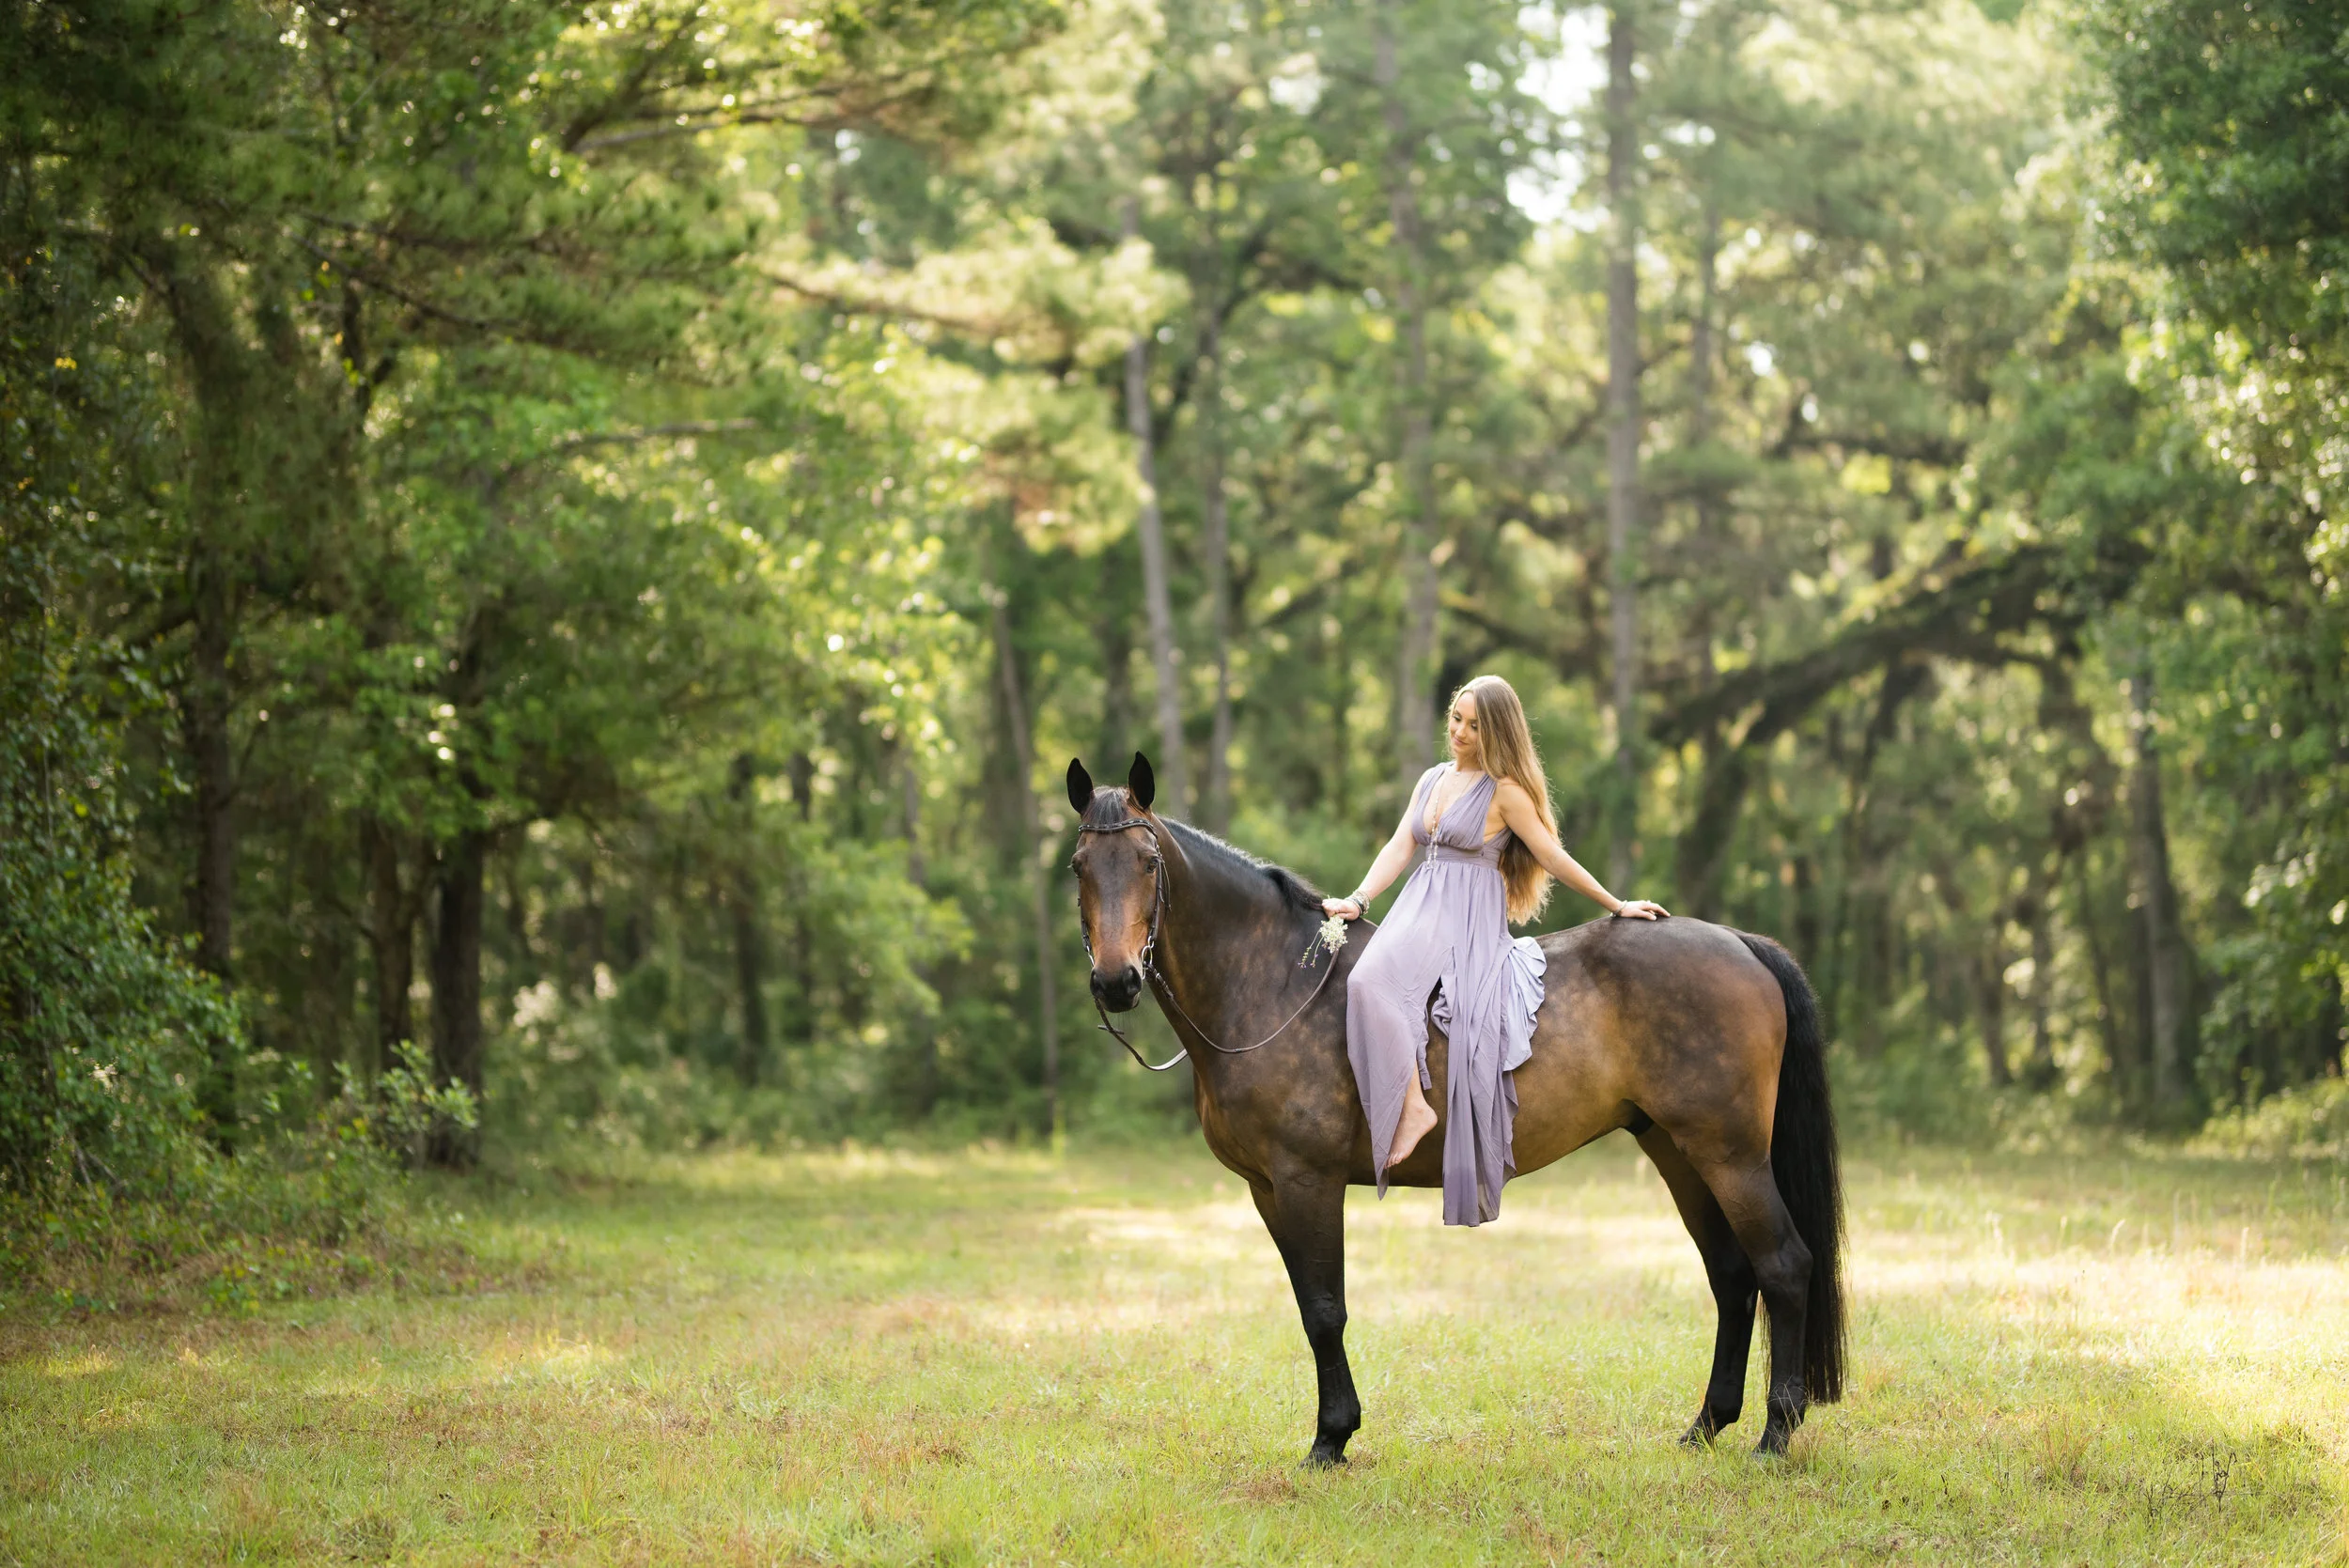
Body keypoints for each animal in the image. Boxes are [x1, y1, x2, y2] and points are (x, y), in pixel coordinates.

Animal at [1066, 753, 1846, 1464]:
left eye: (1147, 862)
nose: (1115, 981)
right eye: (1079, 865)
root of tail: (1740, 943)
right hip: (1679, 1153)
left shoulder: (1306, 1181)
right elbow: (1310, 1306)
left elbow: (1325, 1309)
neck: (1277, 985)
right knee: (1733, 1276)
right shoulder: (1267, 1188)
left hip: (1731, 1156)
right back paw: (1707, 1425)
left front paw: (1331, 1438)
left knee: (1782, 1265)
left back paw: (1775, 1435)